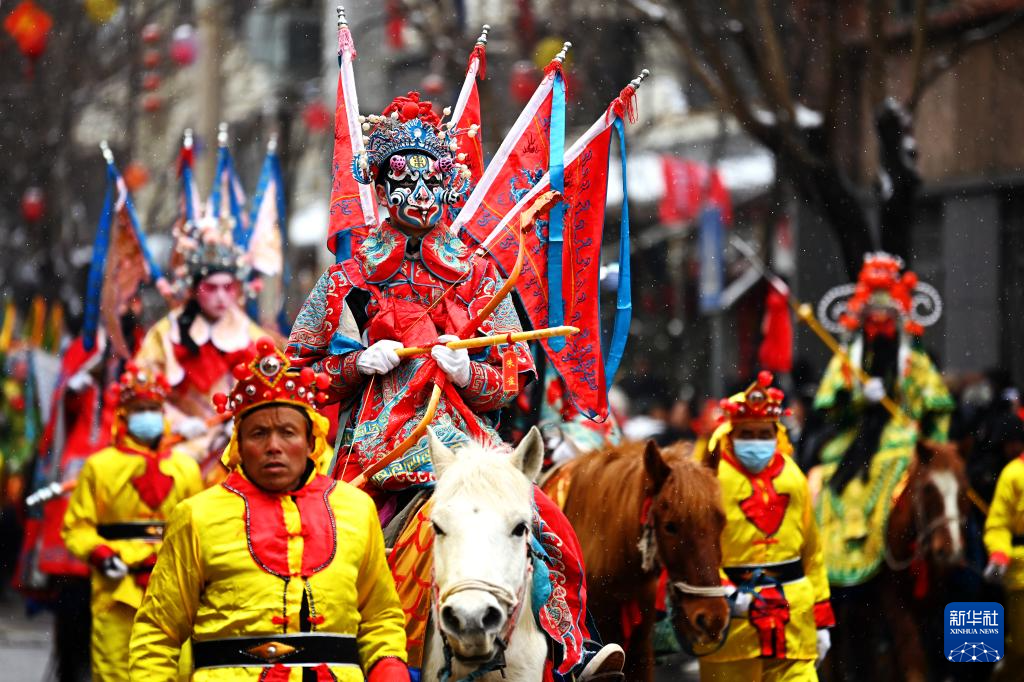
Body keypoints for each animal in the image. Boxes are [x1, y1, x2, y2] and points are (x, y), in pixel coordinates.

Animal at [826, 440, 970, 682]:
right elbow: (912, 661)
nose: (950, 550)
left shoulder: (933, 605)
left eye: (964, 489)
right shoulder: (893, 601)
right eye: (928, 488)